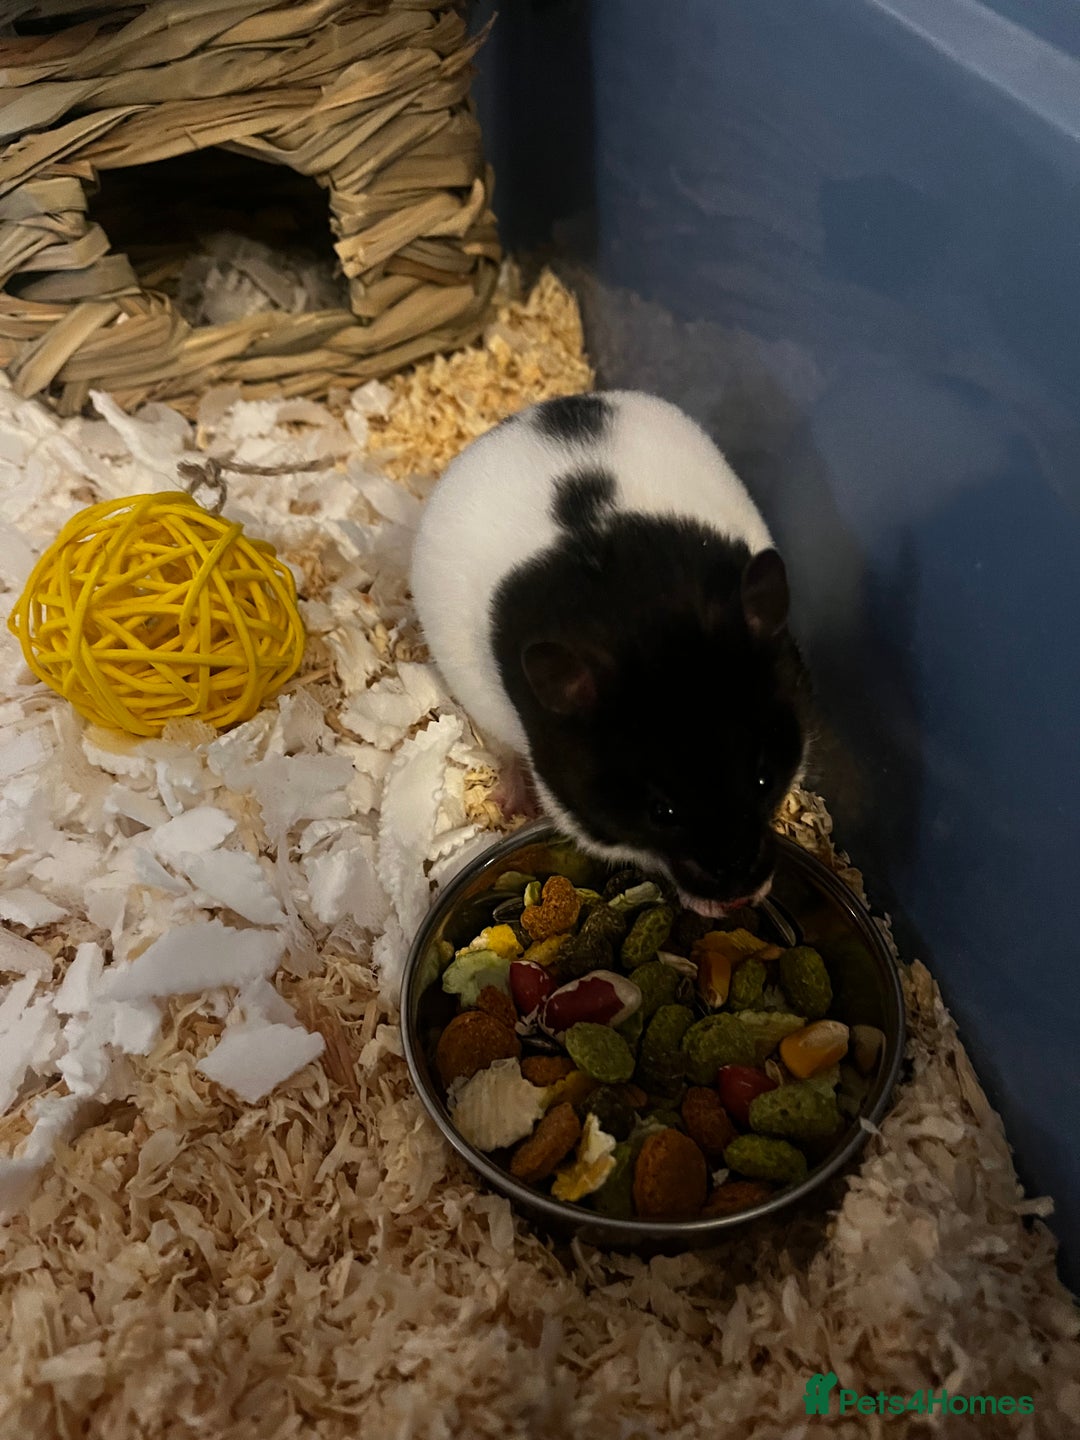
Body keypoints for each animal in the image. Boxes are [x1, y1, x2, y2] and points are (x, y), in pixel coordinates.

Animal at [409, 391, 810, 916]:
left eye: (764, 778)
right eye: (662, 812)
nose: (743, 898)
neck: (638, 611)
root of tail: (521, 417)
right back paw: (511, 802)